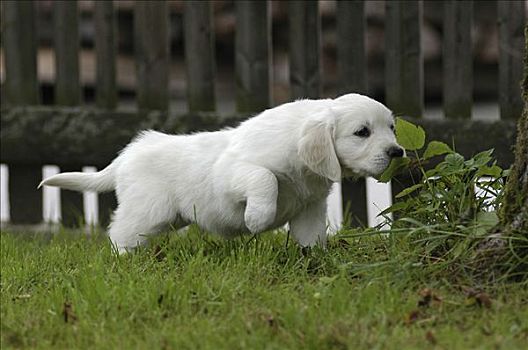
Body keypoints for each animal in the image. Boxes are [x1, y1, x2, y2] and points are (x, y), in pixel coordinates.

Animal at [41, 93, 402, 252]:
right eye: (362, 132)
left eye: (392, 128)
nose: (397, 152)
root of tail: (130, 153)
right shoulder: (235, 173)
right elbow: (265, 178)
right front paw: (257, 219)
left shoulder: (311, 206)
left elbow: (311, 236)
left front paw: (314, 260)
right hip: (147, 212)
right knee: (120, 232)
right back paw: (126, 259)